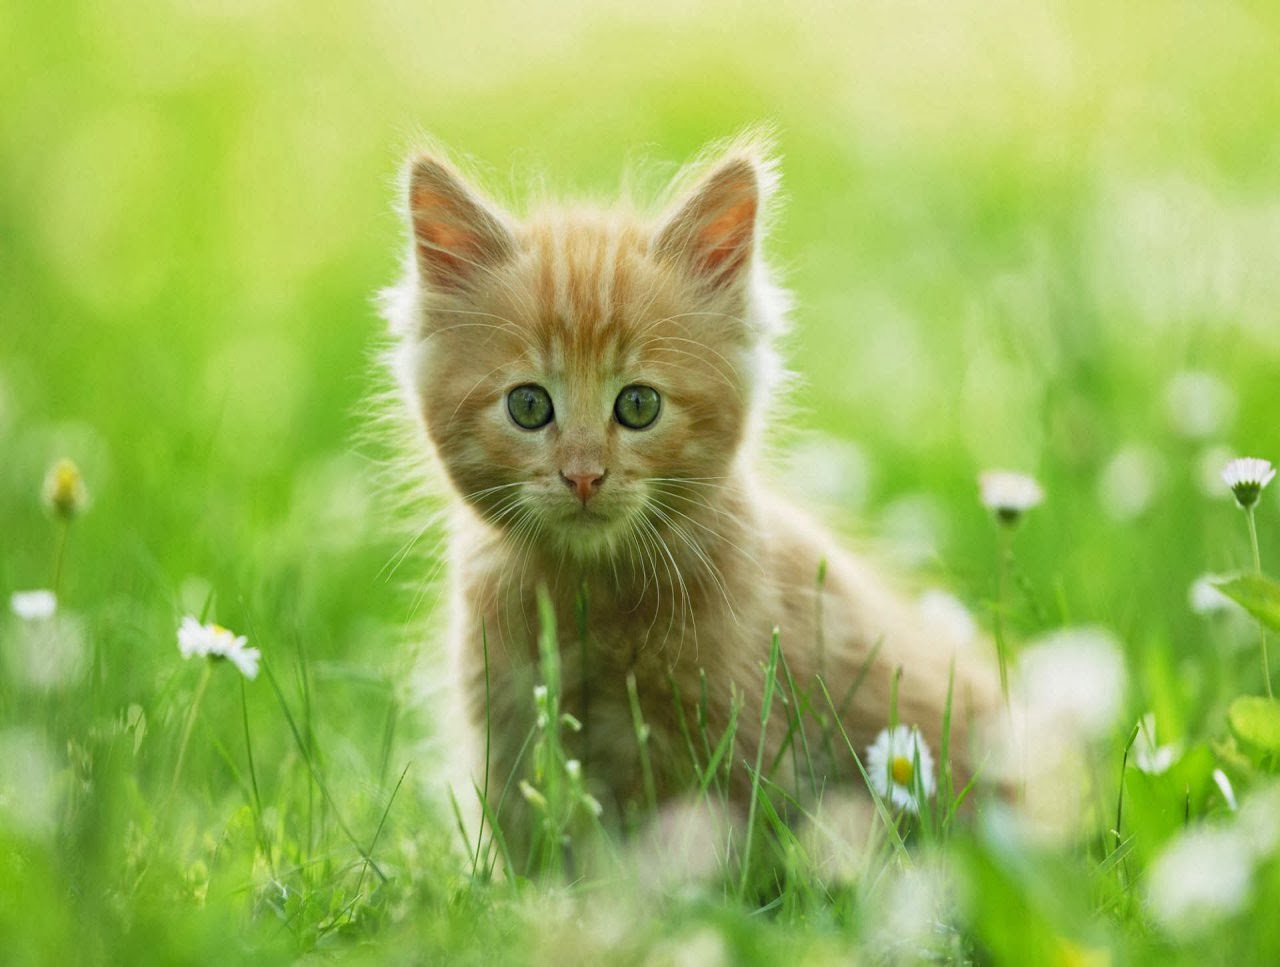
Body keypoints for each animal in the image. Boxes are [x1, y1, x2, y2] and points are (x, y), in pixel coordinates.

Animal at [378, 138, 998, 855]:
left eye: (638, 405)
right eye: (529, 405)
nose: (583, 475)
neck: (591, 594)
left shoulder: (737, 729)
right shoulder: (509, 725)